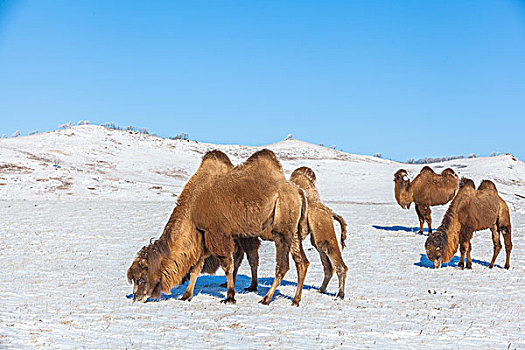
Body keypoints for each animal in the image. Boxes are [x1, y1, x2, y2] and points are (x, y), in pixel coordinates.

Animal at [127, 150, 310, 306]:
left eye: (141, 279)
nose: (136, 297)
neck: (194, 205)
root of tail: (299, 192)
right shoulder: (202, 236)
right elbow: (196, 267)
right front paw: (186, 295)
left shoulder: (217, 233)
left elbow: (227, 265)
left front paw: (230, 297)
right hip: (293, 233)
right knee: (302, 262)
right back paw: (295, 300)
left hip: (281, 231)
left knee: (283, 265)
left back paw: (266, 298)